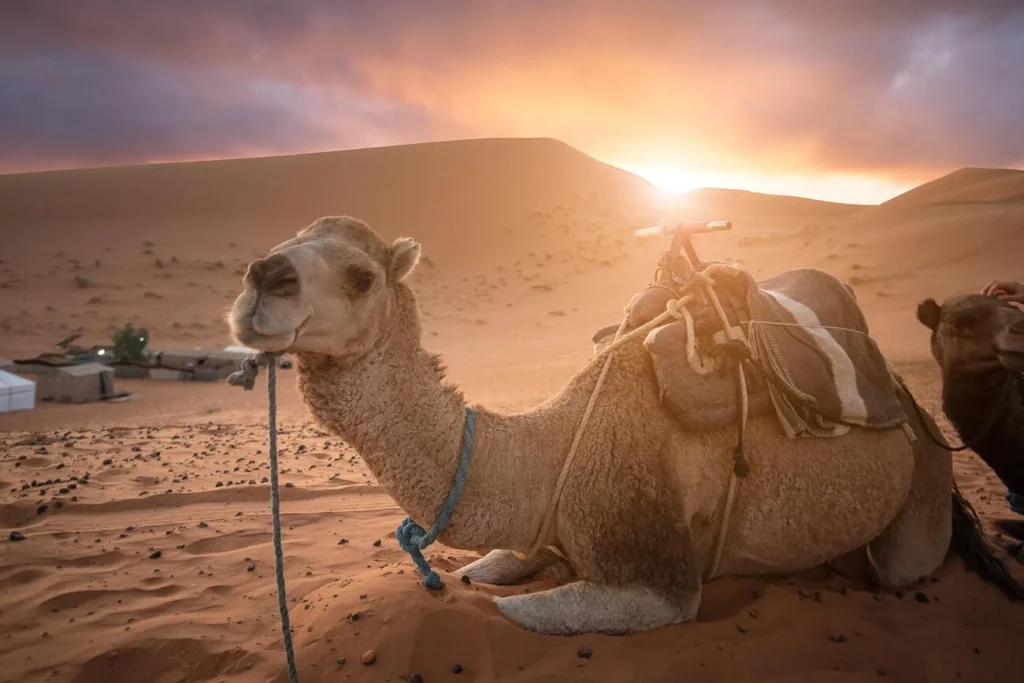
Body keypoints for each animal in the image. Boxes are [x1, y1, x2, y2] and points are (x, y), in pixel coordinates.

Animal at [228, 215, 1011, 634]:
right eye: (292, 240)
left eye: (361, 276)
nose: (261, 276)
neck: (549, 449)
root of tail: (909, 402)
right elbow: (488, 571)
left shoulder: (653, 578)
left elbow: (523, 613)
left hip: (922, 486)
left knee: (903, 564)